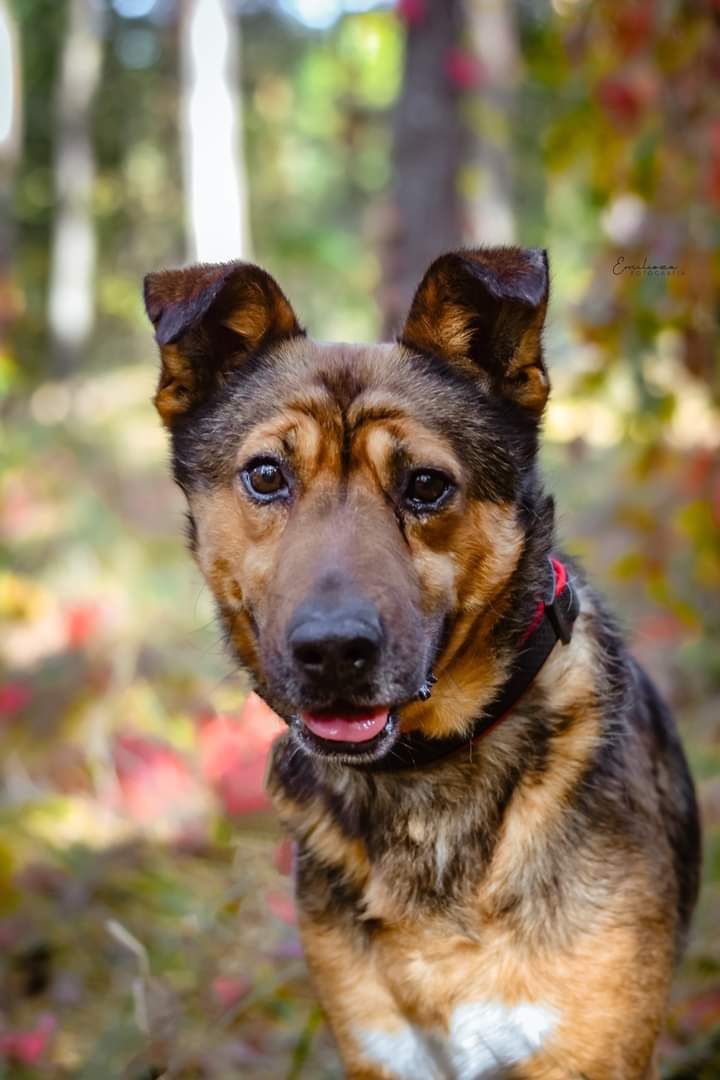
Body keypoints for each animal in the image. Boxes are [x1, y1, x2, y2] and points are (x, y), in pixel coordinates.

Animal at [146, 248, 703, 1075]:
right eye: (266, 476)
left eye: (428, 486)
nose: (333, 652)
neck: (422, 781)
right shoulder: (380, 1046)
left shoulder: (588, 1051)